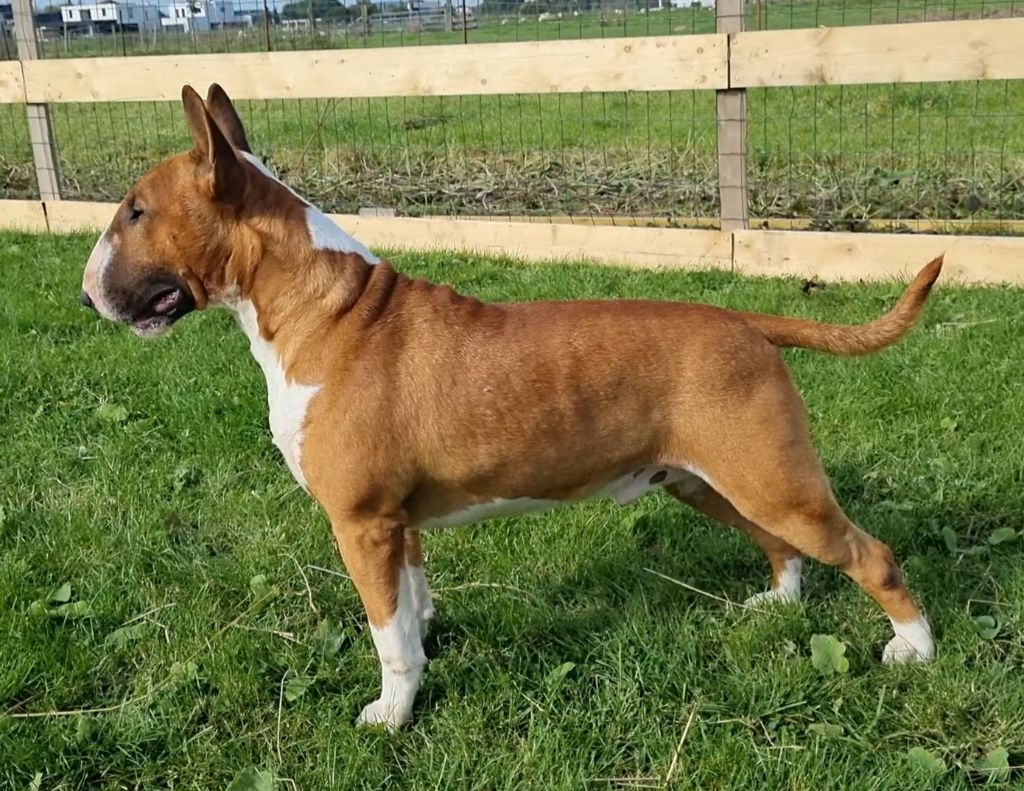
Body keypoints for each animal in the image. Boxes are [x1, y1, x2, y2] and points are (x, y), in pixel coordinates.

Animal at [80, 83, 941, 731]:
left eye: (136, 211)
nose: (86, 296)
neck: (323, 313)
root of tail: (748, 321)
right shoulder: (396, 523)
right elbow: (410, 606)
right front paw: (423, 654)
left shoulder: (360, 523)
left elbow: (386, 637)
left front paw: (391, 713)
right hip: (712, 481)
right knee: (783, 545)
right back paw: (777, 602)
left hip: (772, 478)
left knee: (870, 554)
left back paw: (916, 649)